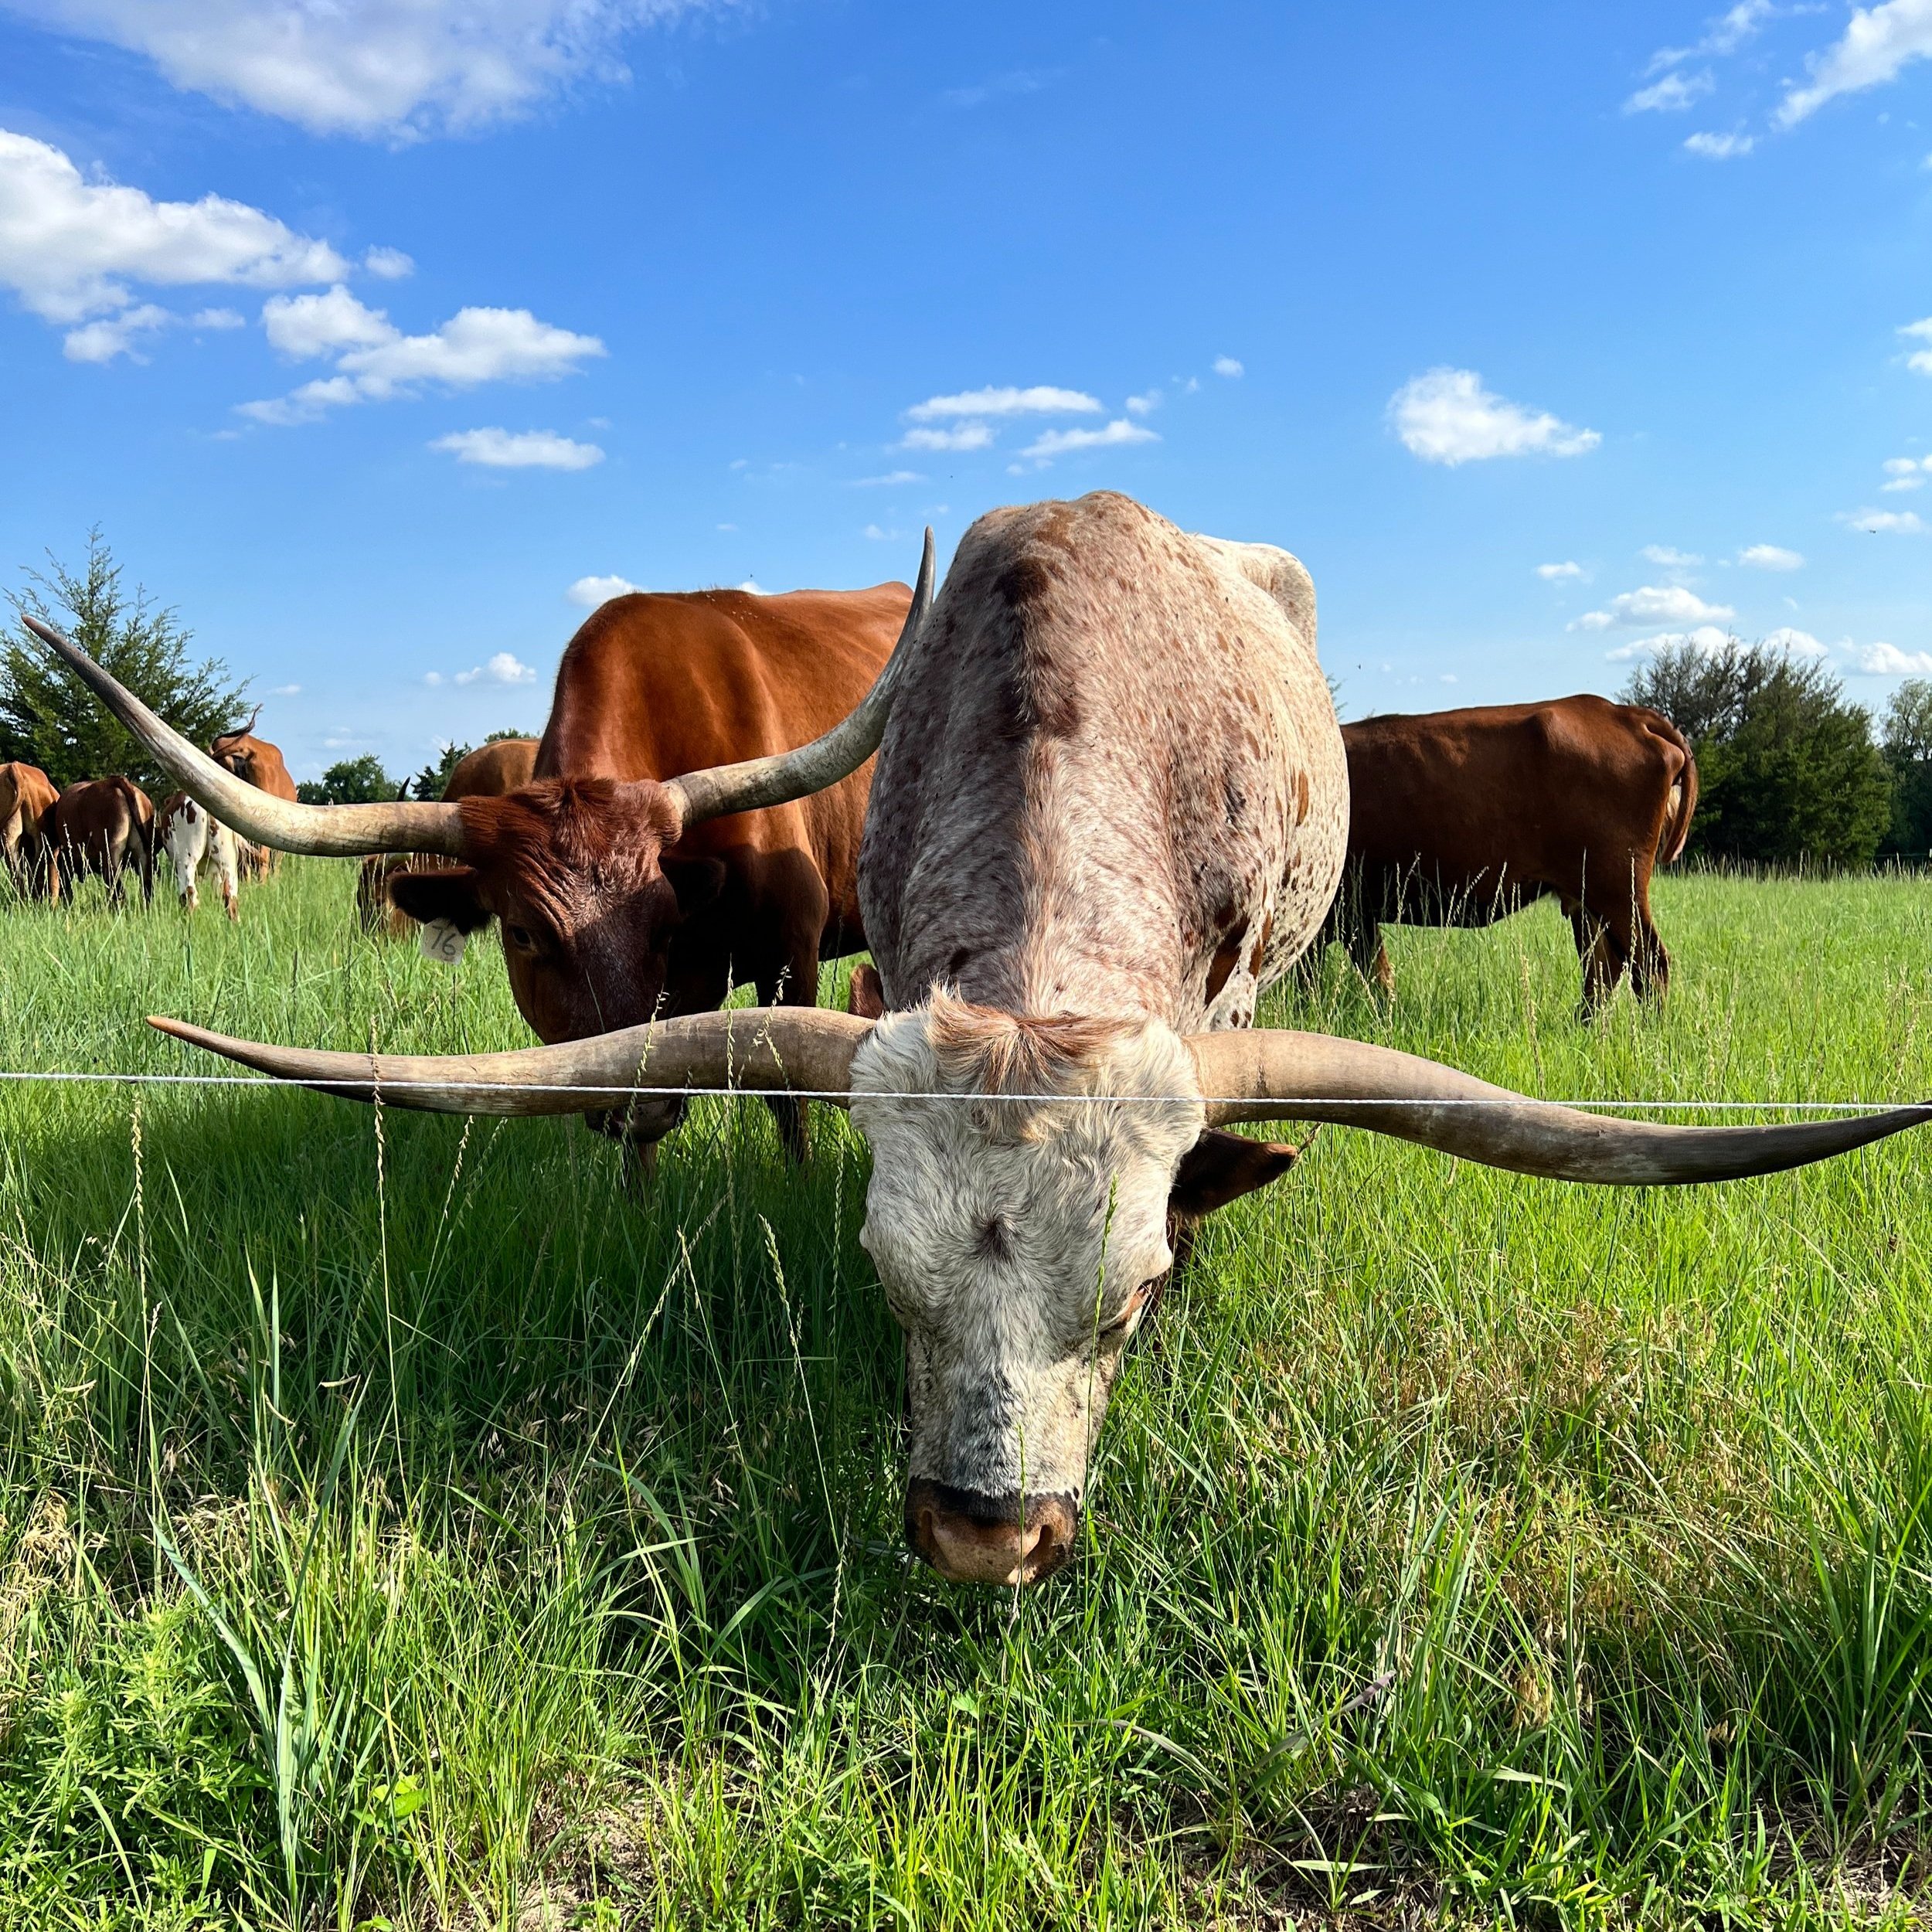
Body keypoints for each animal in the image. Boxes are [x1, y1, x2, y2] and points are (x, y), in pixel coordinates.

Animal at [1313, 699, 1698, 1012]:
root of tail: (1621, 712)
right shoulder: (1356, 913)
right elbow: (1377, 975)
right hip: (1589, 898)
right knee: (1604, 969)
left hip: (1617, 888)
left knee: (1649, 965)